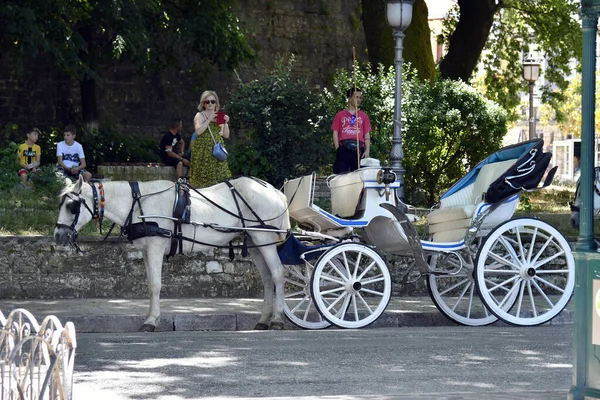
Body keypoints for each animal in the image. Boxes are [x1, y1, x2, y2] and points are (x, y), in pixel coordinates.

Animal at [52, 177, 292, 332]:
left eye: (72, 206)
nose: (58, 236)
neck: (138, 204)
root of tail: (275, 191)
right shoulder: (147, 250)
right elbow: (150, 285)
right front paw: (152, 317)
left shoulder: (156, 247)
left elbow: (155, 285)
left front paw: (150, 321)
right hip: (255, 241)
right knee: (267, 279)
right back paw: (264, 320)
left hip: (264, 237)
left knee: (278, 274)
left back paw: (278, 319)